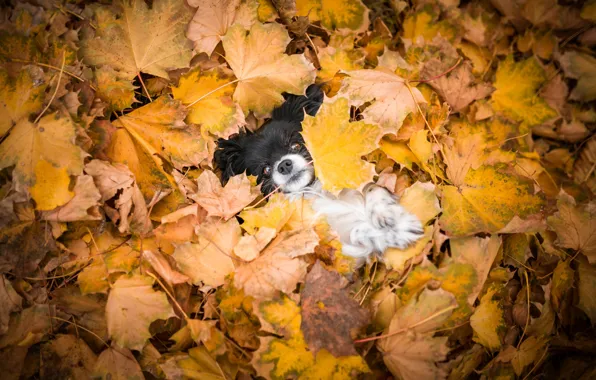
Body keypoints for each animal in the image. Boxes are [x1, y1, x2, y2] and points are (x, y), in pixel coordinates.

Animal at [214, 85, 424, 260]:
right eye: (265, 170)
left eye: (296, 145)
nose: (284, 165)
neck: (313, 190)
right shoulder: (326, 243)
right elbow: (359, 232)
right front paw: (399, 231)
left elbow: (374, 188)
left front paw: (386, 216)